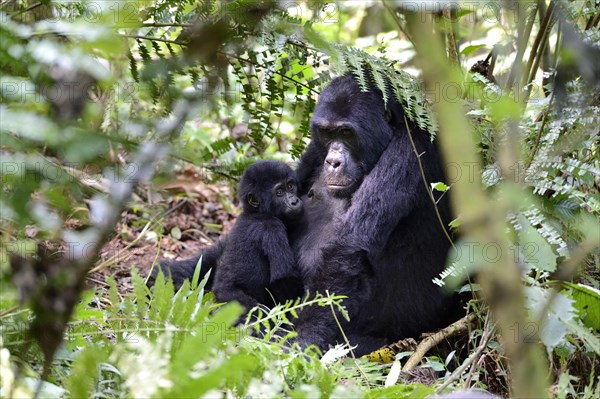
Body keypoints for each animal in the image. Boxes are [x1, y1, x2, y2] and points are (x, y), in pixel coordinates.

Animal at [212, 161, 304, 314]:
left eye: (291, 186)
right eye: (279, 193)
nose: (294, 201)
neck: (256, 213)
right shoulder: (271, 228)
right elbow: (283, 277)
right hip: (231, 300)